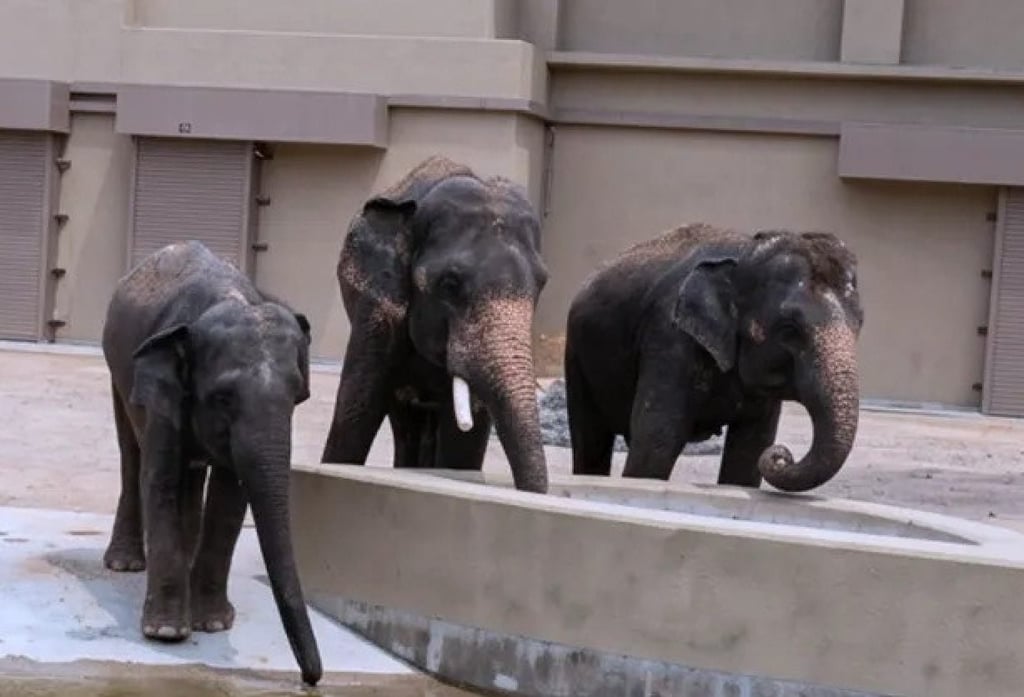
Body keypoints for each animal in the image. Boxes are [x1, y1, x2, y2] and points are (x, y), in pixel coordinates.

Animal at [101, 240, 321, 686]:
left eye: (298, 396)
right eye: (223, 397)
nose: (311, 679)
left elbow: (230, 498)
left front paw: (214, 625)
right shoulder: (162, 392)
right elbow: (161, 480)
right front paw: (167, 632)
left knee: (192, 475)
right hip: (118, 372)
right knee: (132, 457)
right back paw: (124, 565)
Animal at [564, 224, 864, 493]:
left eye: (859, 323)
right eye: (789, 329)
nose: (781, 456)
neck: (745, 252)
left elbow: (750, 449)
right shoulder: (669, 339)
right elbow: (657, 438)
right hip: (577, 357)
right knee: (591, 439)